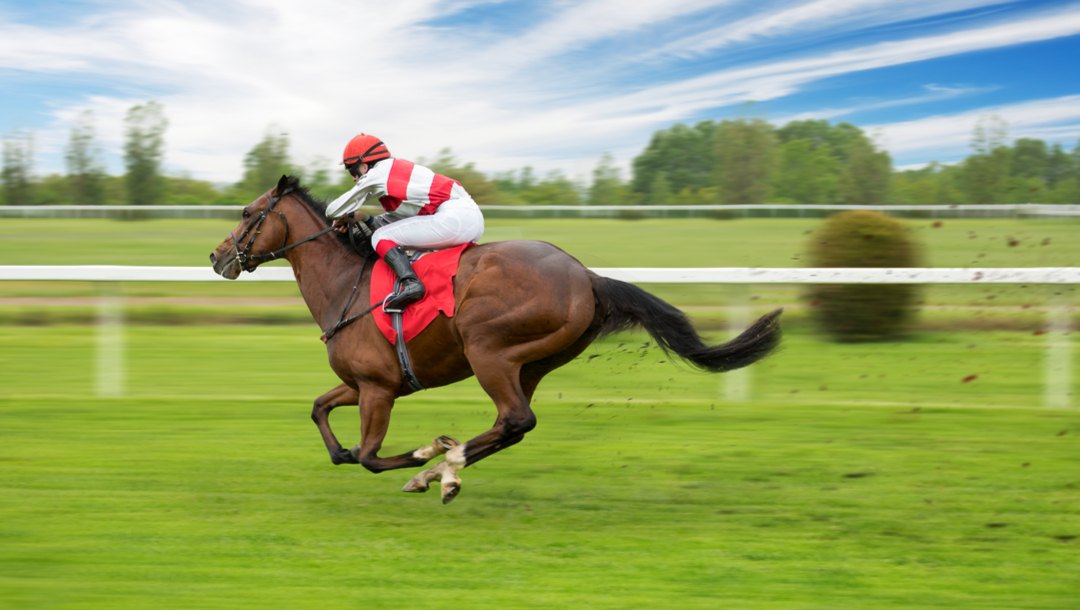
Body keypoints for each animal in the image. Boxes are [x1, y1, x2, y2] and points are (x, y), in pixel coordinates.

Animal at [210, 175, 782, 503]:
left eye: (247, 214)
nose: (217, 257)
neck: (344, 285)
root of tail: (587, 276)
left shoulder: (378, 388)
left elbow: (370, 455)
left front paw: (422, 457)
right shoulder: (362, 382)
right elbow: (321, 414)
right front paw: (401, 459)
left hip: (489, 349)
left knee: (514, 419)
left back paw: (441, 468)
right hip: (532, 363)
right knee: (513, 425)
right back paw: (448, 468)